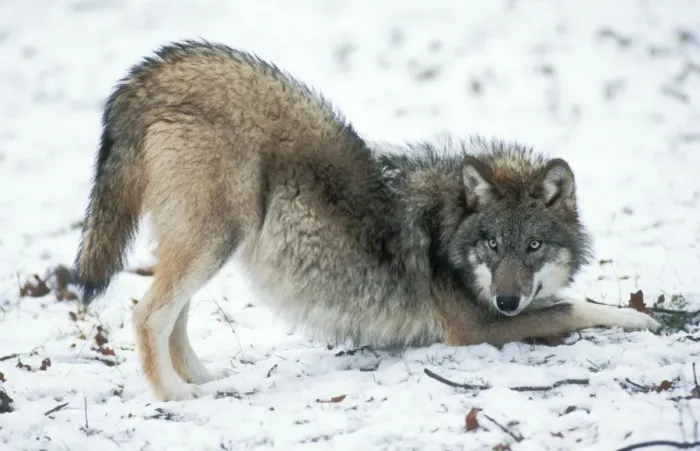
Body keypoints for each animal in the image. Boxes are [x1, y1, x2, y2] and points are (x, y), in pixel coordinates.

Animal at [74, 40, 660, 401]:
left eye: (533, 246)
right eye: (492, 244)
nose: (508, 300)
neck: (448, 228)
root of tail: (163, 72)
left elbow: (567, 299)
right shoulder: (472, 328)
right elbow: (572, 308)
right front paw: (645, 321)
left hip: (211, 243)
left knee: (176, 315)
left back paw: (205, 379)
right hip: (214, 240)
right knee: (147, 313)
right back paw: (175, 394)